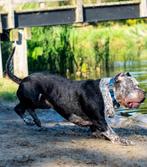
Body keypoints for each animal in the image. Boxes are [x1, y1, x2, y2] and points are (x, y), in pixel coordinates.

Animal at [5, 47, 145, 145]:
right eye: (133, 86)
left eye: (138, 85)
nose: (144, 94)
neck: (109, 92)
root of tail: (23, 80)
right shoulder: (100, 120)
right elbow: (112, 132)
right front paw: (123, 140)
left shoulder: (96, 123)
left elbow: (98, 131)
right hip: (34, 98)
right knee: (19, 108)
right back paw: (28, 120)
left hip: (43, 103)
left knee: (28, 108)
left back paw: (36, 121)